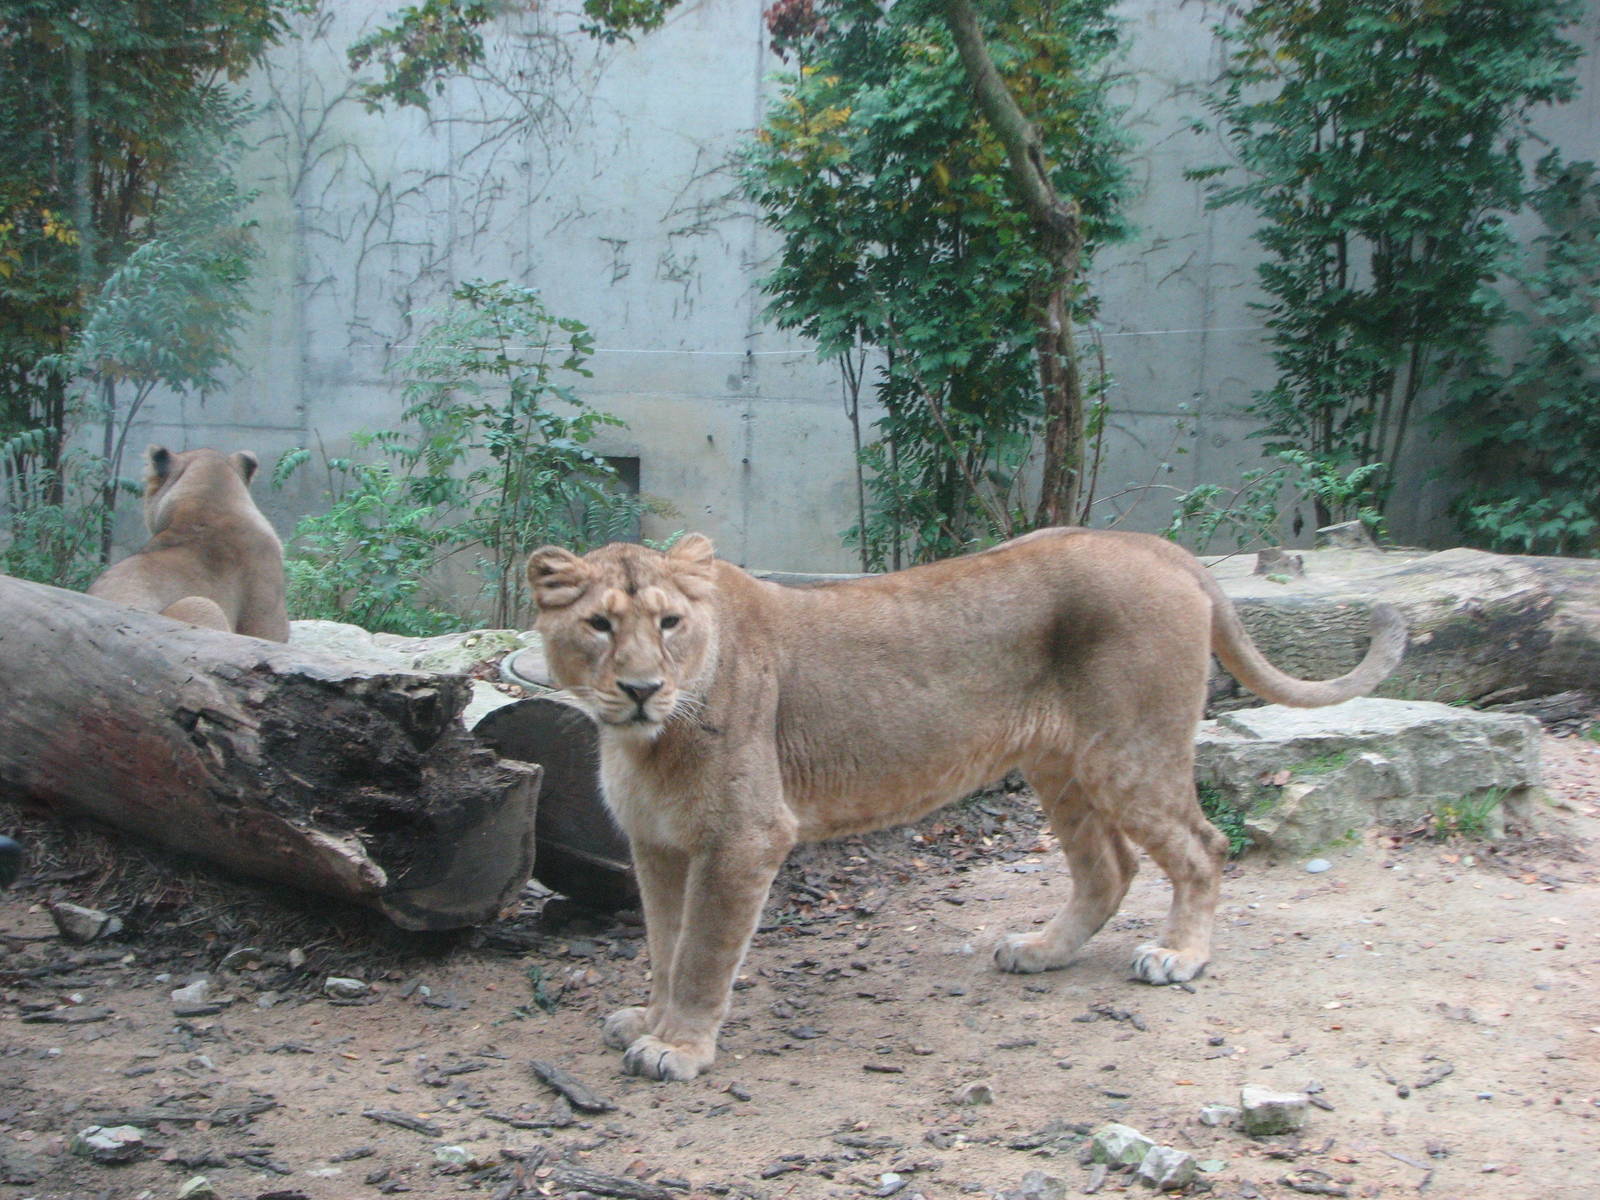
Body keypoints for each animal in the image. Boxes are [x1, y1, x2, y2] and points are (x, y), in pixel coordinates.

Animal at [526, 529, 1405, 1081]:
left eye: (670, 622)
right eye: (598, 625)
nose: (642, 689)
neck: (644, 742)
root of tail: (1158, 546)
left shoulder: (744, 838)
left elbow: (704, 953)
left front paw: (678, 1048)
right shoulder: (659, 845)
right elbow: (663, 944)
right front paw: (650, 1022)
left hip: (1130, 752)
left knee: (1202, 845)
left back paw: (1179, 956)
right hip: (1061, 764)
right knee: (1108, 868)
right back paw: (1042, 950)